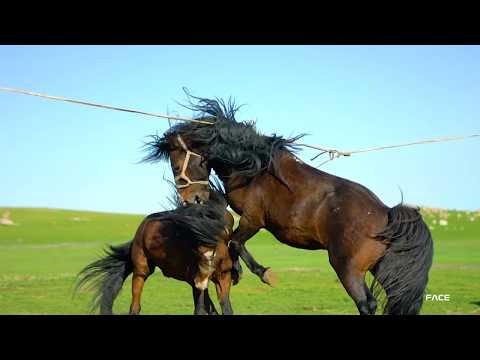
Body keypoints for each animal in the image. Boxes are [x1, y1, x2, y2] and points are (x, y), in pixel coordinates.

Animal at [73, 188, 236, 316]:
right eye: (194, 246)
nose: (201, 281)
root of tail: (143, 226)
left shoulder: (223, 278)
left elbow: (225, 307)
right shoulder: (196, 281)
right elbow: (201, 309)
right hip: (142, 271)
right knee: (135, 306)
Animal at [143, 93, 436, 316]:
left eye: (176, 163)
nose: (192, 200)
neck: (254, 169)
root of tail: (386, 213)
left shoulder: (253, 219)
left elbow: (235, 243)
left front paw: (259, 273)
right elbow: (232, 242)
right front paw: (241, 271)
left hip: (348, 269)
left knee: (367, 304)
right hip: (383, 269)